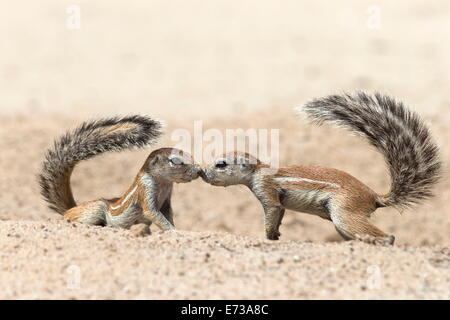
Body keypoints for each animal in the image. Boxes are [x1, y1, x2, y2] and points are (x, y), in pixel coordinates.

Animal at [39, 116, 201, 231]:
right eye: (175, 161)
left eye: (191, 155)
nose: (198, 170)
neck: (163, 183)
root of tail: (70, 209)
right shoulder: (146, 189)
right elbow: (152, 213)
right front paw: (174, 231)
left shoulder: (167, 198)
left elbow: (167, 214)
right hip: (97, 209)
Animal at [202, 92, 442, 245]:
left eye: (221, 164)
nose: (204, 173)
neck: (257, 170)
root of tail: (374, 196)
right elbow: (280, 213)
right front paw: (277, 235)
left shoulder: (266, 187)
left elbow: (273, 210)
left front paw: (269, 237)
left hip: (344, 211)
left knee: (386, 236)